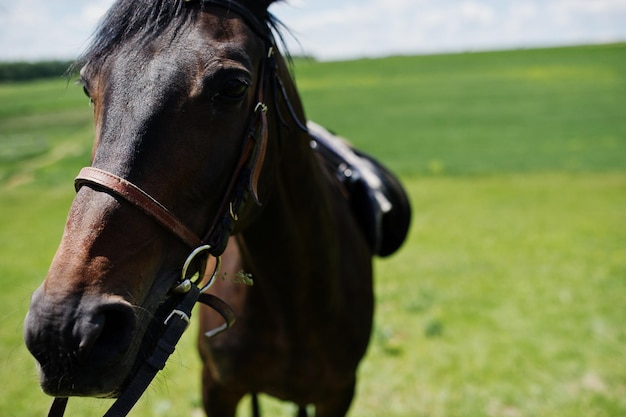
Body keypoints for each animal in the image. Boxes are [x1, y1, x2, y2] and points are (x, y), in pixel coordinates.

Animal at [23, 0, 410, 416]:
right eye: (87, 86)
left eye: (234, 86)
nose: (62, 329)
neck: (292, 300)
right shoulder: (218, 387)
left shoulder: (337, 394)